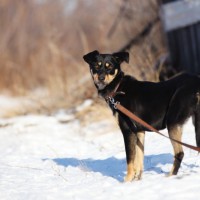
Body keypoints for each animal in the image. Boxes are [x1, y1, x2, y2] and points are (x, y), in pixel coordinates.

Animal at [82, 50, 200, 181]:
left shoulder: (128, 131)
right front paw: (137, 180)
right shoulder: (139, 131)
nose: (101, 78)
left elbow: (130, 160)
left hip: (173, 121)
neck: (118, 88)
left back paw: (170, 176)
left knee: (179, 153)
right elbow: (139, 159)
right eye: (96, 66)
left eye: (110, 67)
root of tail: (196, 83)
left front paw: (127, 181)